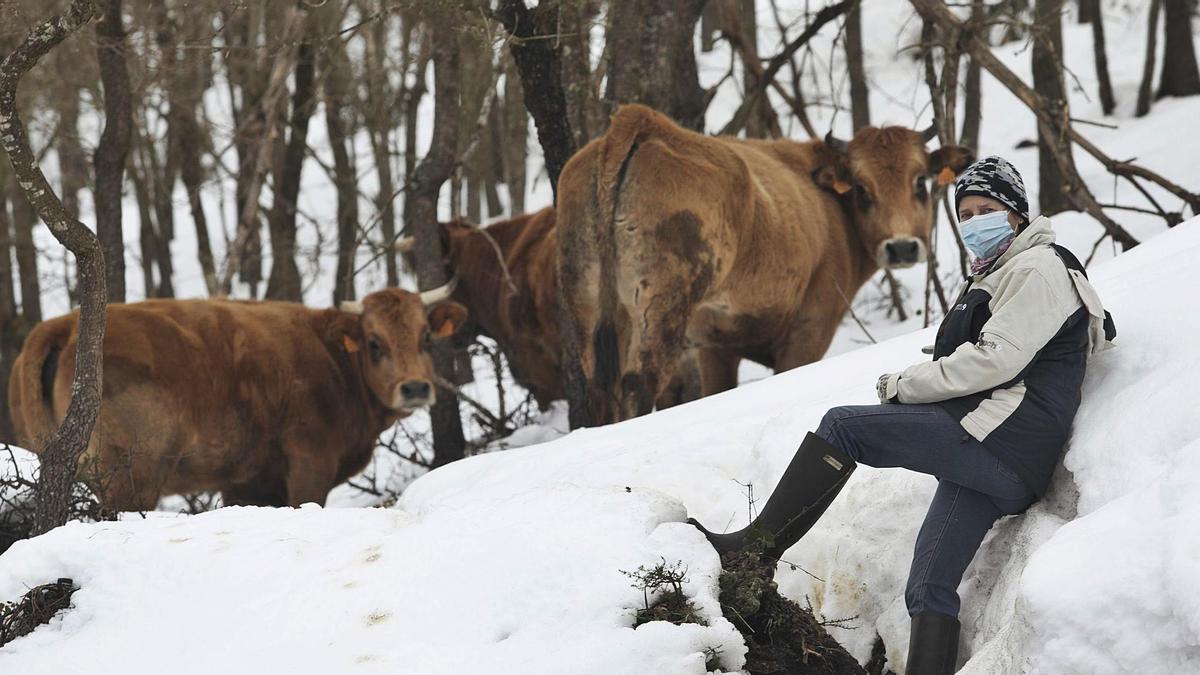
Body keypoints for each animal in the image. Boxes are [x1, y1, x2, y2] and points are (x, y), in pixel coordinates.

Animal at [556, 103, 969, 420]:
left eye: (920, 181)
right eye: (862, 189)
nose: (902, 247)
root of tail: (641, 122)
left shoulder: (715, 346)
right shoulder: (807, 330)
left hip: (590, 310)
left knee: (602, 390)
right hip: (662, 308)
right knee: (638, 384)